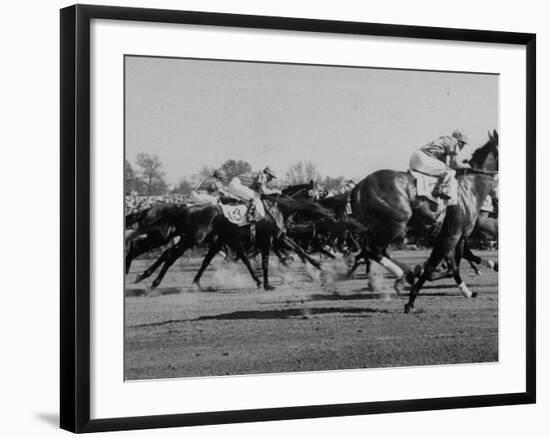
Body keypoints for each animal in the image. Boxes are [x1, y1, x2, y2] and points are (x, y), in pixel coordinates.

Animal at [354, 129, 500, 298]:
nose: (496, 200)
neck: (470, 188)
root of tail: (360, 185)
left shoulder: (452, 235)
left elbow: (452, 266)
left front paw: (467, 290)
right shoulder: (453, 235)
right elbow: (447, 266)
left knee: (370, 251)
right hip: (396, 225)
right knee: (373, 250)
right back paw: (403, 276)